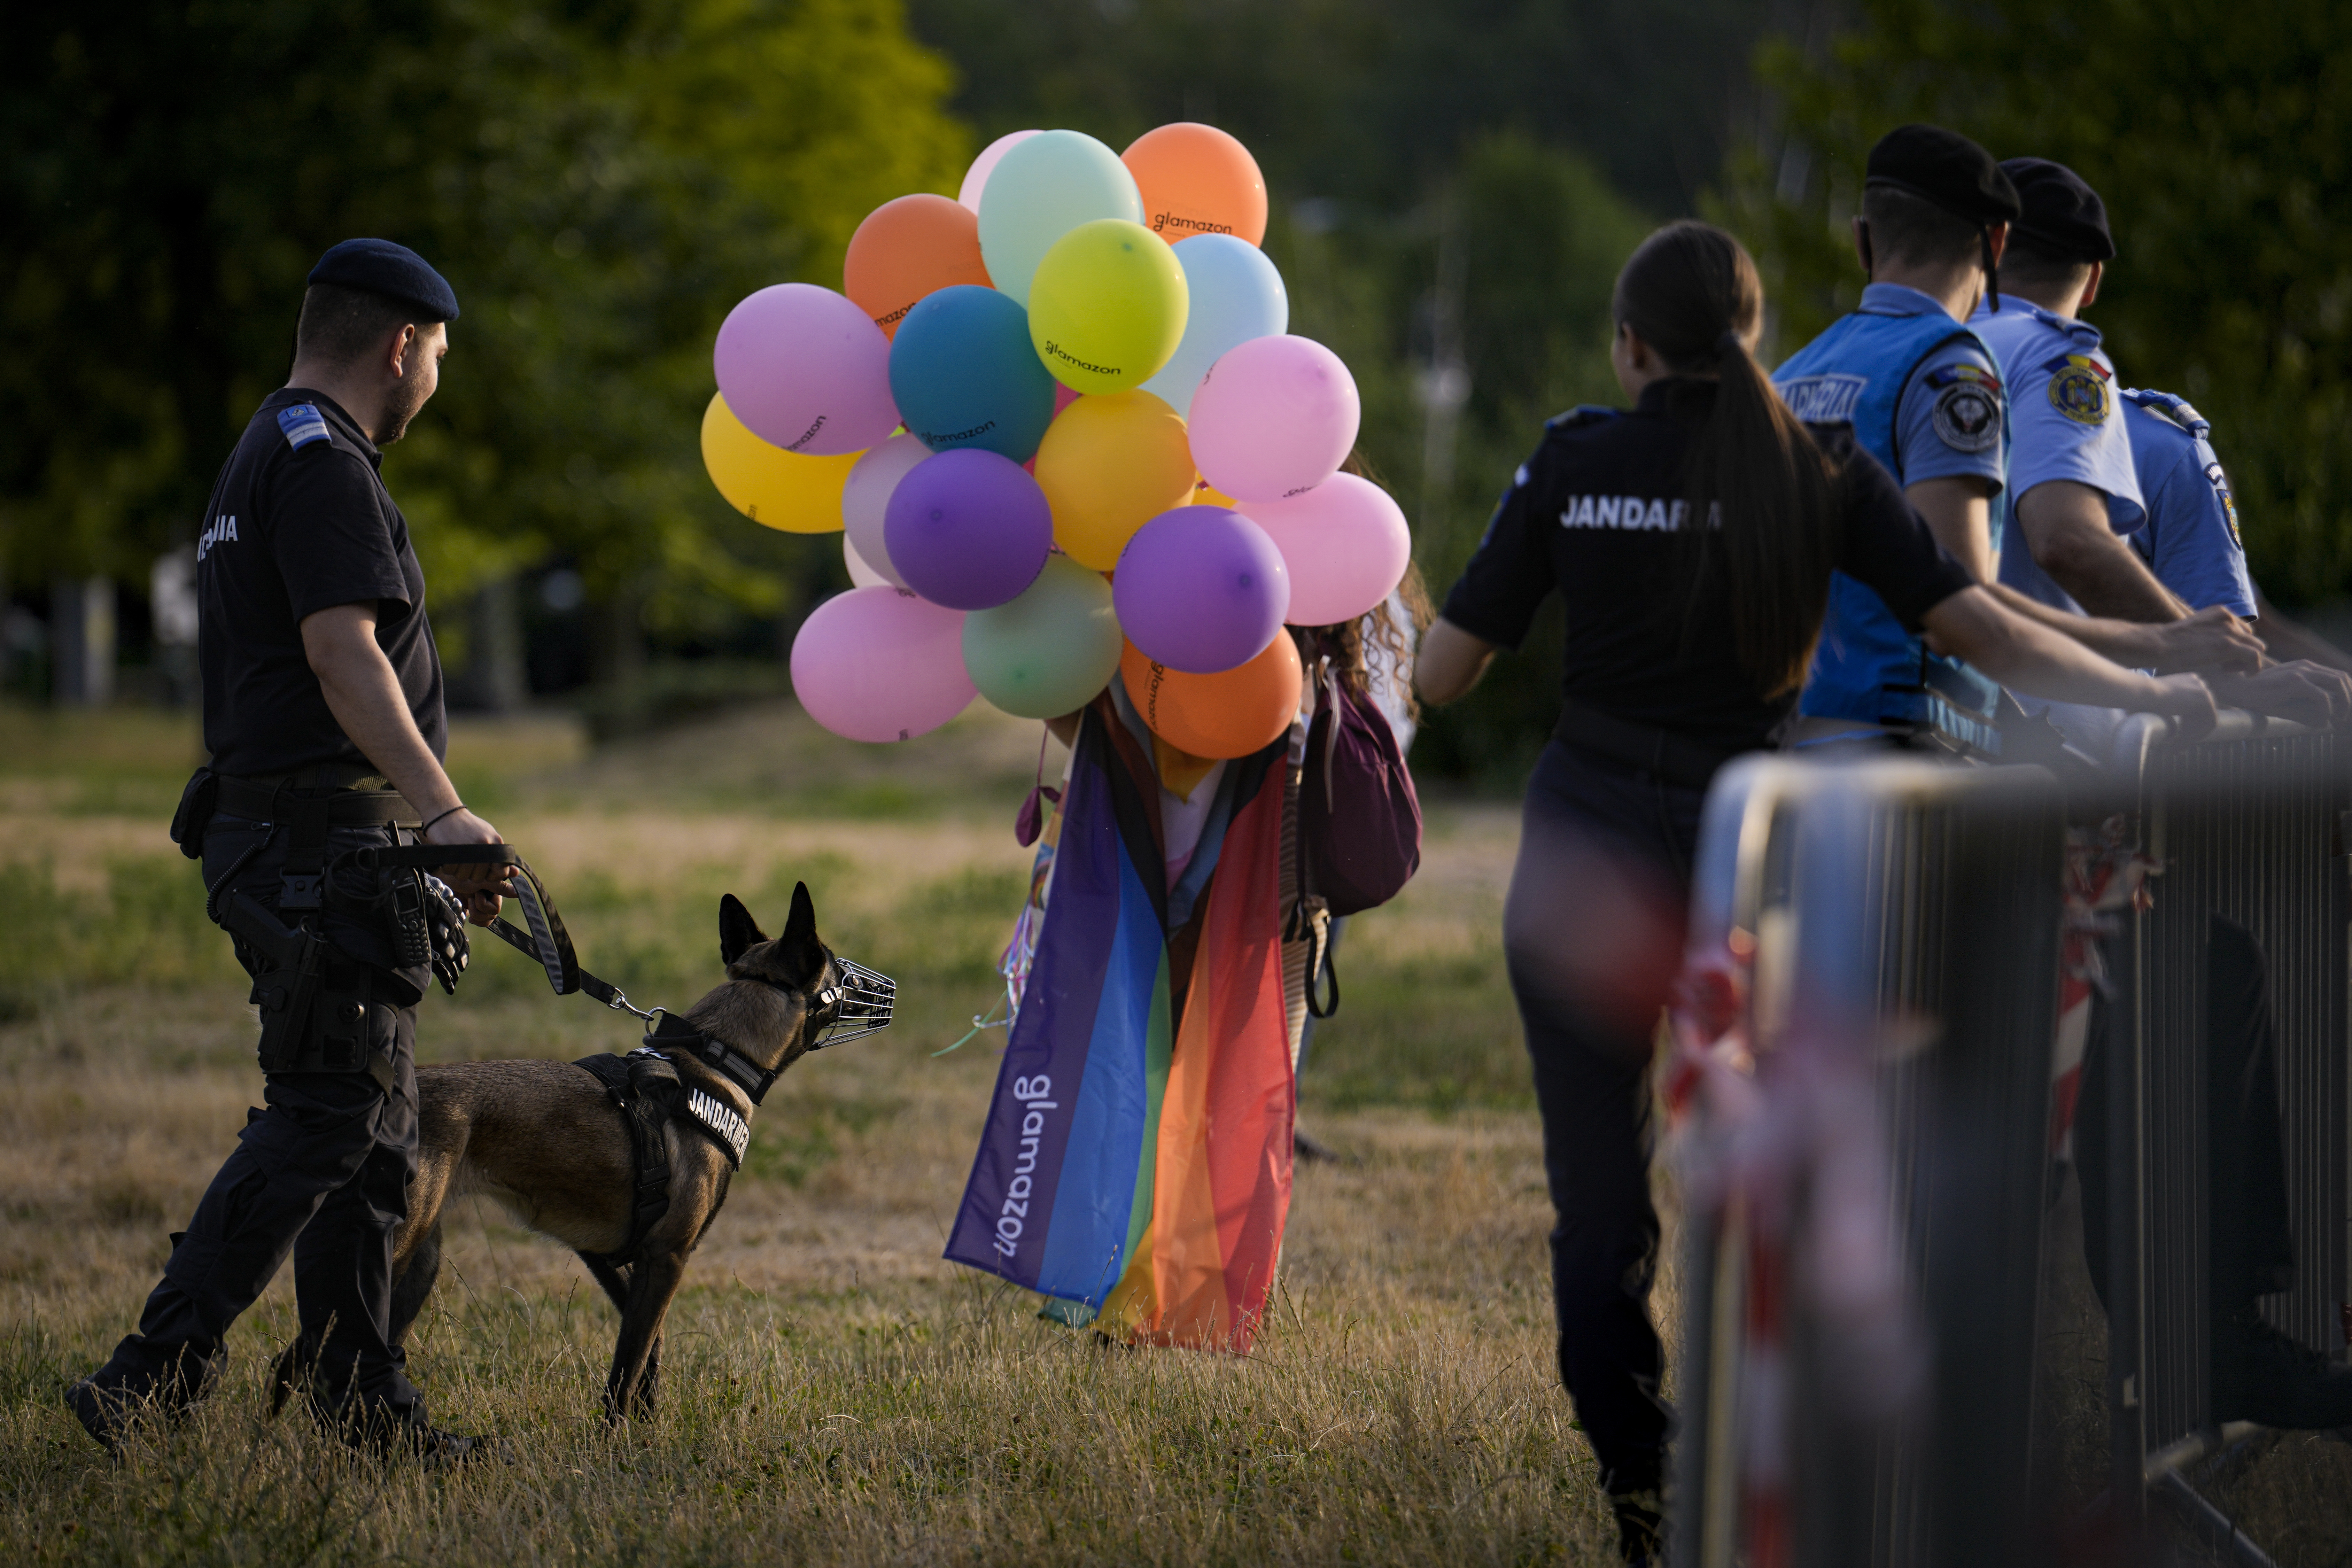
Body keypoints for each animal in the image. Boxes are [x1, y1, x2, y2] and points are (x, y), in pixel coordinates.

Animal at [70, 242, 515, 1457]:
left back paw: (356, 1403)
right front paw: (461, 835)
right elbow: (350, 645)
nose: (439, 365)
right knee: (320, 1141)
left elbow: (357, 1229)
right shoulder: (334, 518)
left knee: (367, 1161)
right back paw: (124, 1395)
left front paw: (372, 1405)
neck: (316, 409)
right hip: (340, 985)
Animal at [273, 884, 865, 1420]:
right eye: (840, 971)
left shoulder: (609, 1256)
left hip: (418, 1263)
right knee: (301, 1358)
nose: (868, 983)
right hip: (395, 1248)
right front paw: (618, 1444)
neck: (718, 1059)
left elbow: (647, 1354)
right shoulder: (667, 1256)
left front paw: (643, 1430)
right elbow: (627, 1365)